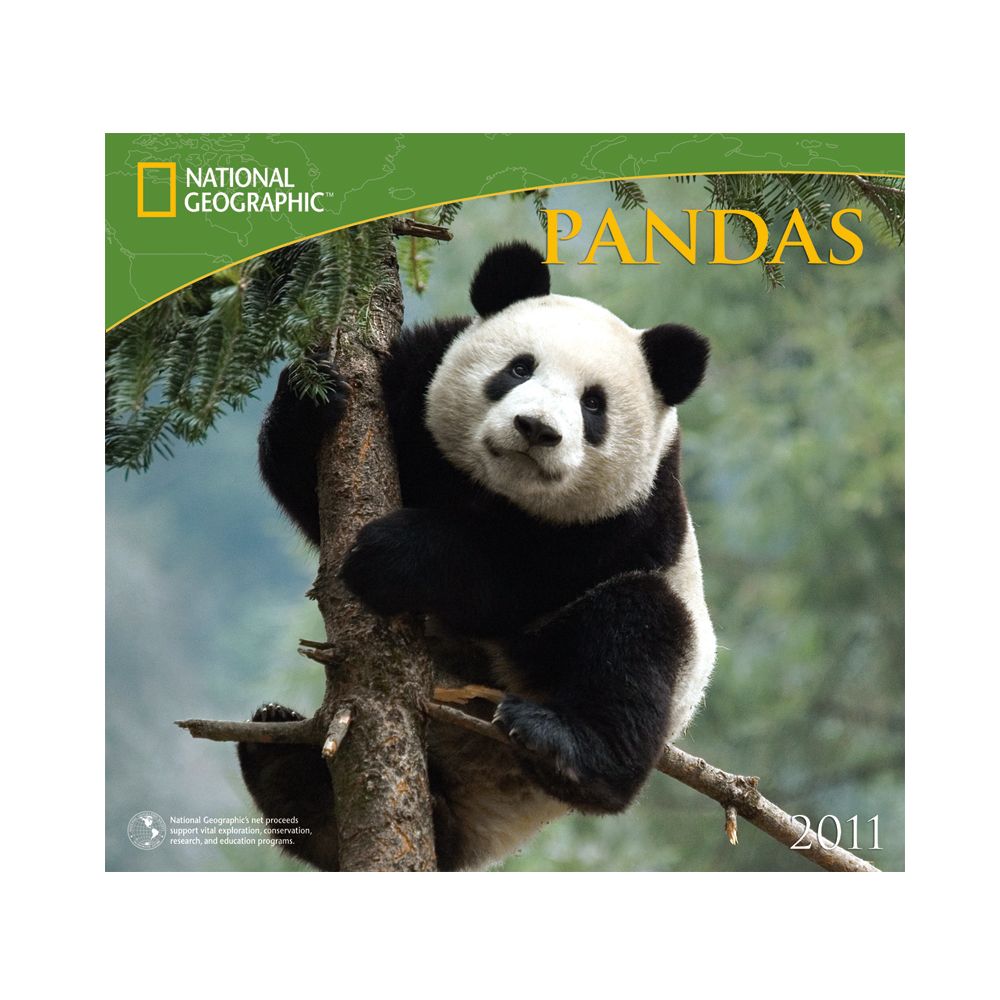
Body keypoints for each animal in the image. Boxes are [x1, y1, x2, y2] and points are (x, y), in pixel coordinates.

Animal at [238, 241, 716, 871]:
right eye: (518, 368)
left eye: (594, 405)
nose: (536, 429)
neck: (493, 490)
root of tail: (487, 814)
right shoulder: (415, 388)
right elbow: (311, 495)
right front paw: (311, 397)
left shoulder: (630, 517)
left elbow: (513, 582)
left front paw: (396, 554)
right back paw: (287, 771)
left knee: (638, 630)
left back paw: (565, 749)